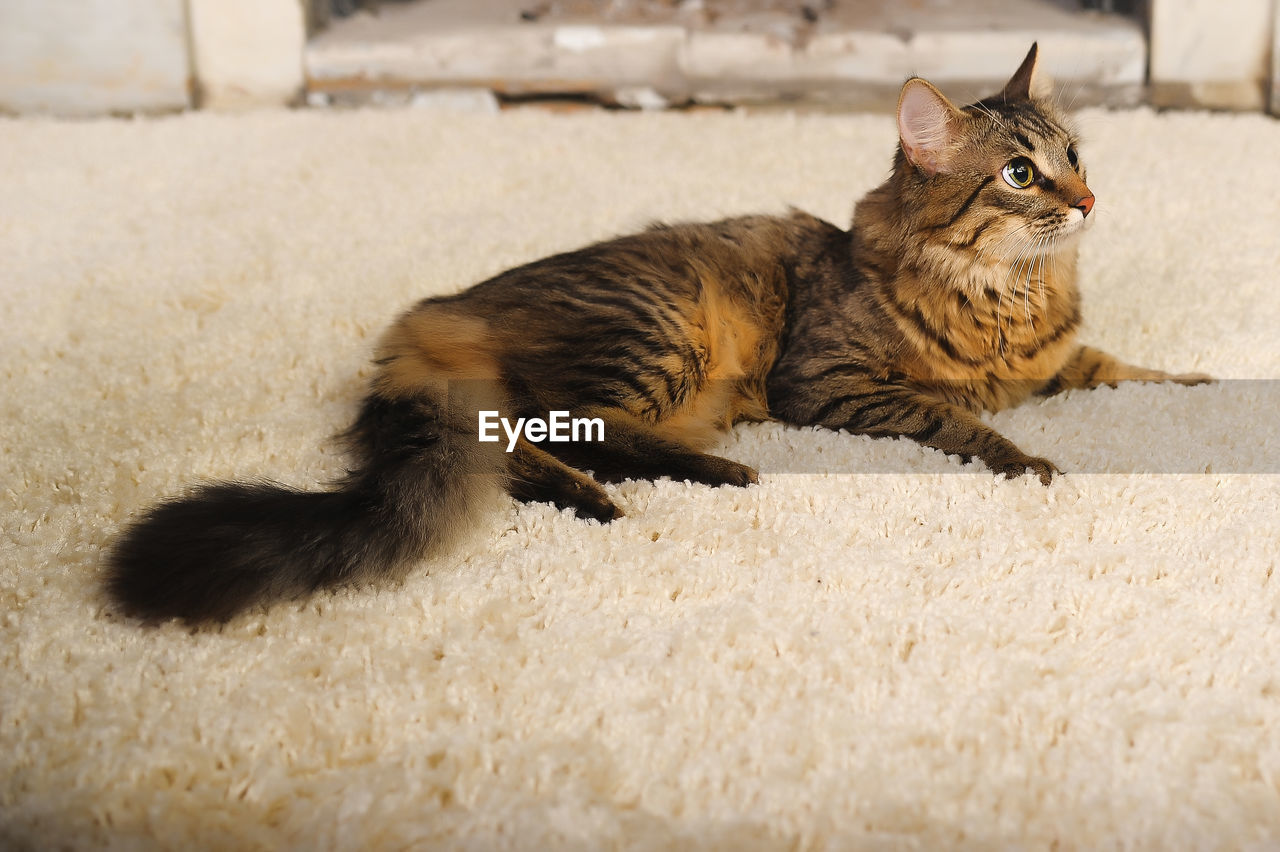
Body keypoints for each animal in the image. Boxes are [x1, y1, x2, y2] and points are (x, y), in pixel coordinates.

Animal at [107, 44, 1208, 624]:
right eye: (1019, 174)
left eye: (1074, 155)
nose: (1088, 198)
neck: (1009, 296)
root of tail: (430, 313)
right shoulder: (832, 382)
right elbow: (965, 422)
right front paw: (1029, 462)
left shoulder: (1063, 361)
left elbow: (1136, 372)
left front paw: (1197, 391)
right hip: (660, 330)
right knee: (549, 439)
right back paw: (697, 481)